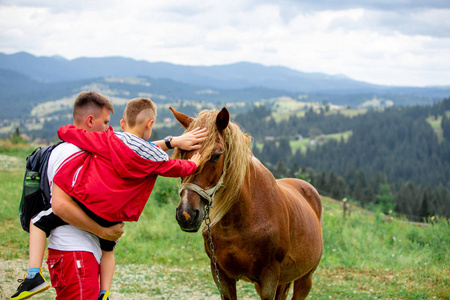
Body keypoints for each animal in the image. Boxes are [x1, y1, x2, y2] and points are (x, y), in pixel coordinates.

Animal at [171, 106, 322, 298]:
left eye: (216, 156)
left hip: (305, 279)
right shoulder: (222, 276)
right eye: (182, 152)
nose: (186, 214)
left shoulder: (269, 279)